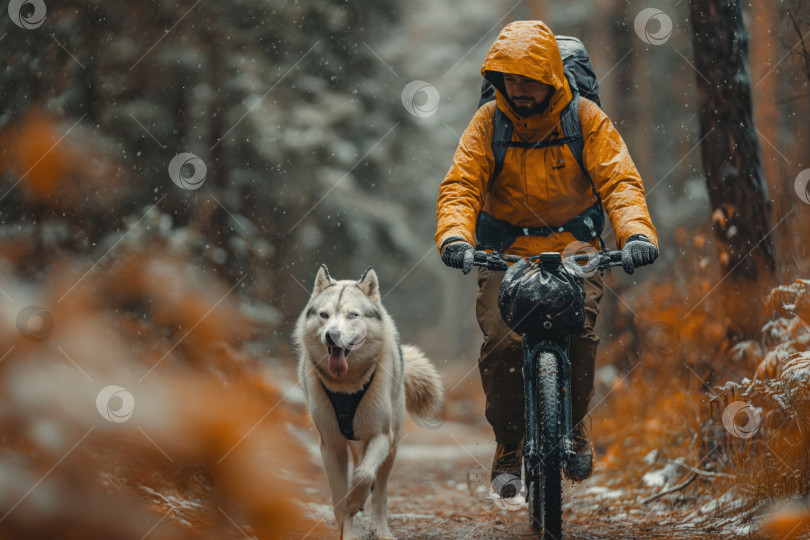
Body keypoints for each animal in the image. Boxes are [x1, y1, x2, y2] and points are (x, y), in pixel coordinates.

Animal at [292, 266, 442, 540]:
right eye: (324, 315)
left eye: (352, 315)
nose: (332, 335)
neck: (346, 385)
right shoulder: (331, 445)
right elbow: (339, 500)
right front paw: (349, 530)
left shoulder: (380, 435)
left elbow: (363, 474)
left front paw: (355, 501)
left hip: (392, 446)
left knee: (379, 492)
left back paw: (381, 529)